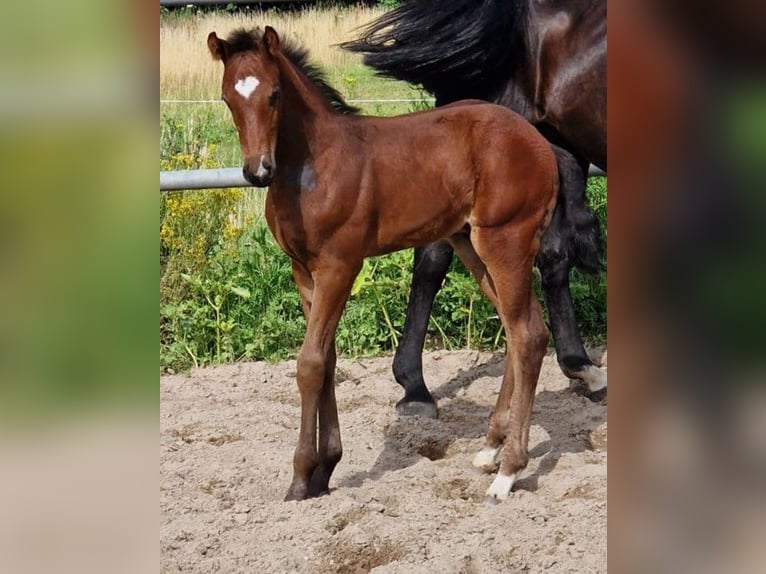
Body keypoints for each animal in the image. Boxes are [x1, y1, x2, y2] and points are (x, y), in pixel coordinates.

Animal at [207, 27, 560, 504]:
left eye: (275, 94)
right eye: (228, 98)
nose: (258, 170)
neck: (313, 167)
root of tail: (540, 144)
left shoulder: (340, 265)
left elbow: (310, 363)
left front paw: (300, 479)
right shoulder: (304, 271)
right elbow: (328, 359)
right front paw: (324, 471)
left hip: (506, 240)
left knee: (528, 334)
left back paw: (508, 472)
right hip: (472, 245)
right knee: (518, 330)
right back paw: (489, 450)